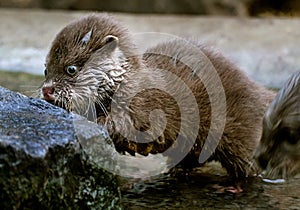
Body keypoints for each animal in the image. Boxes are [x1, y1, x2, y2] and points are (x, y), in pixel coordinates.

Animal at [41, 12, 276, 177]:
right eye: (45, 69)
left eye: (71, 69)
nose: (47, 89)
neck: (127, 82)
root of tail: (264, 95)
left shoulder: (142, 106)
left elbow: (127, 126)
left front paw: (99, 122)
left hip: (244, 133)